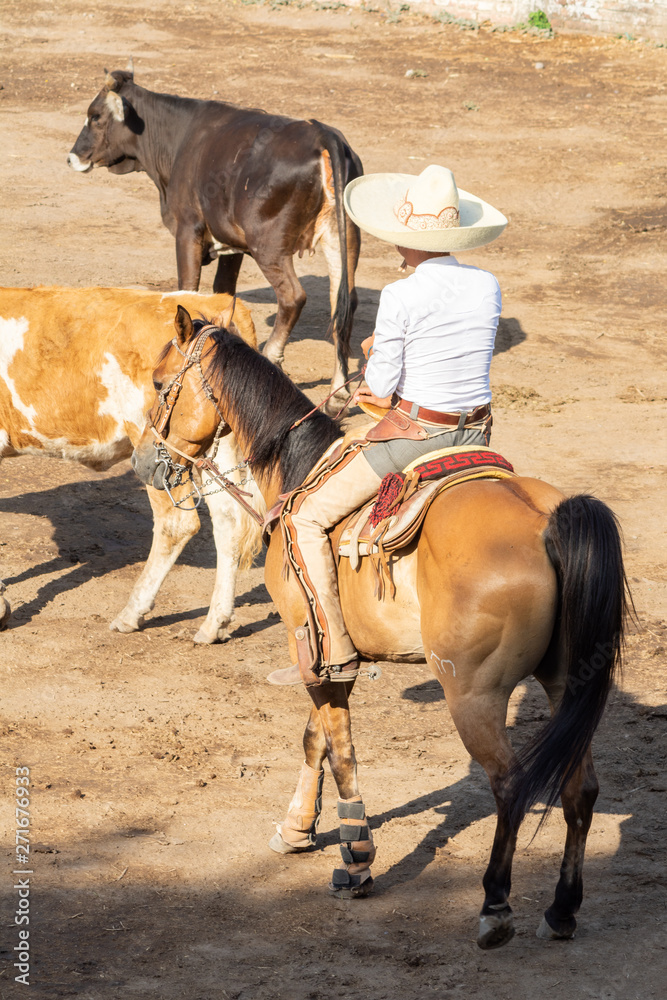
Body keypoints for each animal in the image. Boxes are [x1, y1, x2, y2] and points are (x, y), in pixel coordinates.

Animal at [0, 287, 263, 640]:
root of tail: (213, 301)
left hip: (161, 455)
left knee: (176, 523)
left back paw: (133, 611)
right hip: (214, 443)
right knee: (229, 519)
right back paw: (215, 623)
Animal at [67, 68, 363, 409]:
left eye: (96, 116)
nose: (72, 157)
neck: (178, 140)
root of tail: (322, 134)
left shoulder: (188, 230)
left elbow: (188, 288)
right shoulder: (231, 246)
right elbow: (223, 292)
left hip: (269, 246)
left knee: (293, 296)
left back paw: (273, 357)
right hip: (343, 240)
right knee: (343, 303)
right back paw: (338, 392)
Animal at [131, 307, 629, 950]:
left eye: (159, 381)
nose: (144, 462)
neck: (297, 470)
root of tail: (549, 519)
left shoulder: (309, 640)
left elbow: (340, 748)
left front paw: (357, 859)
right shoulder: (326, 652)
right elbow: (315, 738)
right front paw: (297, 830)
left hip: (473, 694)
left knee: (511, 785)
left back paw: (495, 907)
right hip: (567, 682)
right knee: (579, 788)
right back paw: (563, 908)